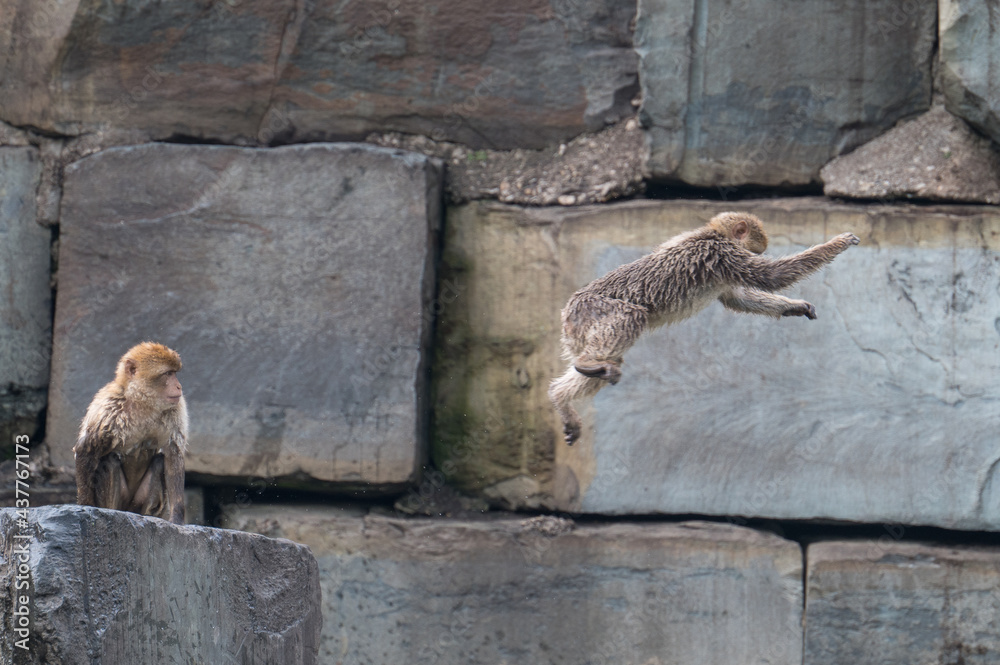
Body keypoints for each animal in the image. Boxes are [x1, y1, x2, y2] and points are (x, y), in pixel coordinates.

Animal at [74, 342, 188, 524]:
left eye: (174, 373)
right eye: (168, 373)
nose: (179, 387)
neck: (143, 402)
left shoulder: (175, 408)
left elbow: (173, 455)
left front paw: (176, 517)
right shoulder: (107, 408)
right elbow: (86, 449)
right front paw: (86, 505)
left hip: (138, 501)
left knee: (159, 462)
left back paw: (147, 514)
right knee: (109, 460)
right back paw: (111, 511)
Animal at [549, 212, 860, 445]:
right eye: (753, 250)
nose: (755, 252)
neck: (712, 233)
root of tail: (567, 314)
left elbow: (737, 297)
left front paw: (794, 306)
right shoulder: (723, 253)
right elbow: (772, 276)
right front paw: (838, 243)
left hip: (582, 328)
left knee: (608, 360)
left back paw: (560, 396)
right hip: (591, 310)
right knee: (630, 315)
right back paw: (589, 364)